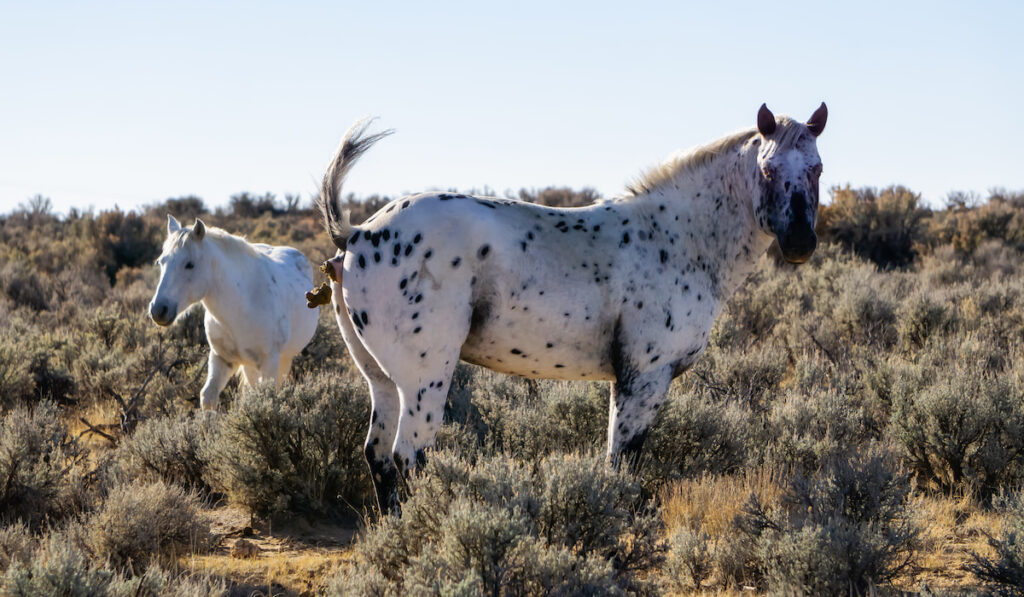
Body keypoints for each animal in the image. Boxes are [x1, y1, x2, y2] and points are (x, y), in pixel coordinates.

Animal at [149, 218, 317, 411]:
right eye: (161, 262)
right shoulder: (221, 358)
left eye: (190, 264)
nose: (158, 310)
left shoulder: (270, 361)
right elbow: (208, 396)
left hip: (283, 359)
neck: (241, 307)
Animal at [315, 103, 827, 514]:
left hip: (381, 381)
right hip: (424, 381)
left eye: (818, 169)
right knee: (409, 459)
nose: (801, 243)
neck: (679, 238)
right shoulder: (643, 379)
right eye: (767, 169)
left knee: (379, 457)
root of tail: (358, 234)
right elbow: (623, 464)